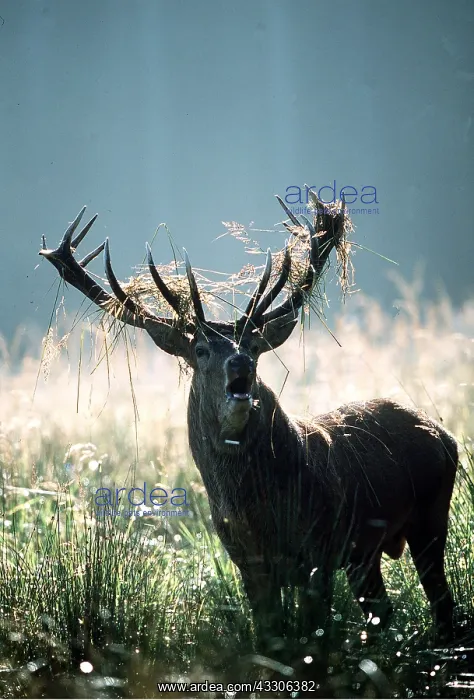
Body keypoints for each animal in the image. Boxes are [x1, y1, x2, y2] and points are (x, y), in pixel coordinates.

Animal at [39, 195, 458, 645]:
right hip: (367, 551)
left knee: (441, 600)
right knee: (383, 609)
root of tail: (445, 435)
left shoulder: (318, 552)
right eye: (201, 350)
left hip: (431, 514)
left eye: (254, 346)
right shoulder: (247, 561)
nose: (239, 362)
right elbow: (270, 633)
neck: (261, 512)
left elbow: (314, 634)